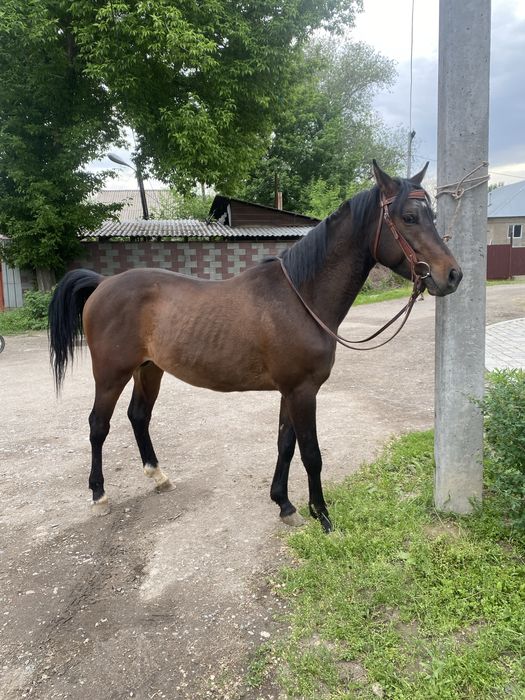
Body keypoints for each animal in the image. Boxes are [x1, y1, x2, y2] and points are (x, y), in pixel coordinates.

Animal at [48, 162, 462, 533]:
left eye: (432, 214)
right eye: (409, 217)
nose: (452, 275)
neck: (301, 297)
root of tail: (103, 283)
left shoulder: (291, 392)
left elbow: (285, 445)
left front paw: (285, 505)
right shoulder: (302, 392)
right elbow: (311, 454)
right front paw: (323, 517)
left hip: (149, 369)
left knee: (138, 416)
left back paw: (159, 476)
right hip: (111, 374)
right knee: (98, 425)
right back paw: (99, 495)